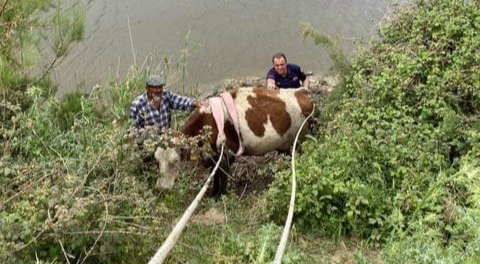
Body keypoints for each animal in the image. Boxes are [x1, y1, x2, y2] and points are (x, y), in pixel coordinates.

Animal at [154, 86, 312, 198]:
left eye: (175, 160)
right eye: (157, 161)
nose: (161, 189)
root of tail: (302, 92)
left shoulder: (224, 154)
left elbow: (221, 175)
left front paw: (220, 196)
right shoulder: (212, 156)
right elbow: (214, 174)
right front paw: (214, 194)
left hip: (300, 140)